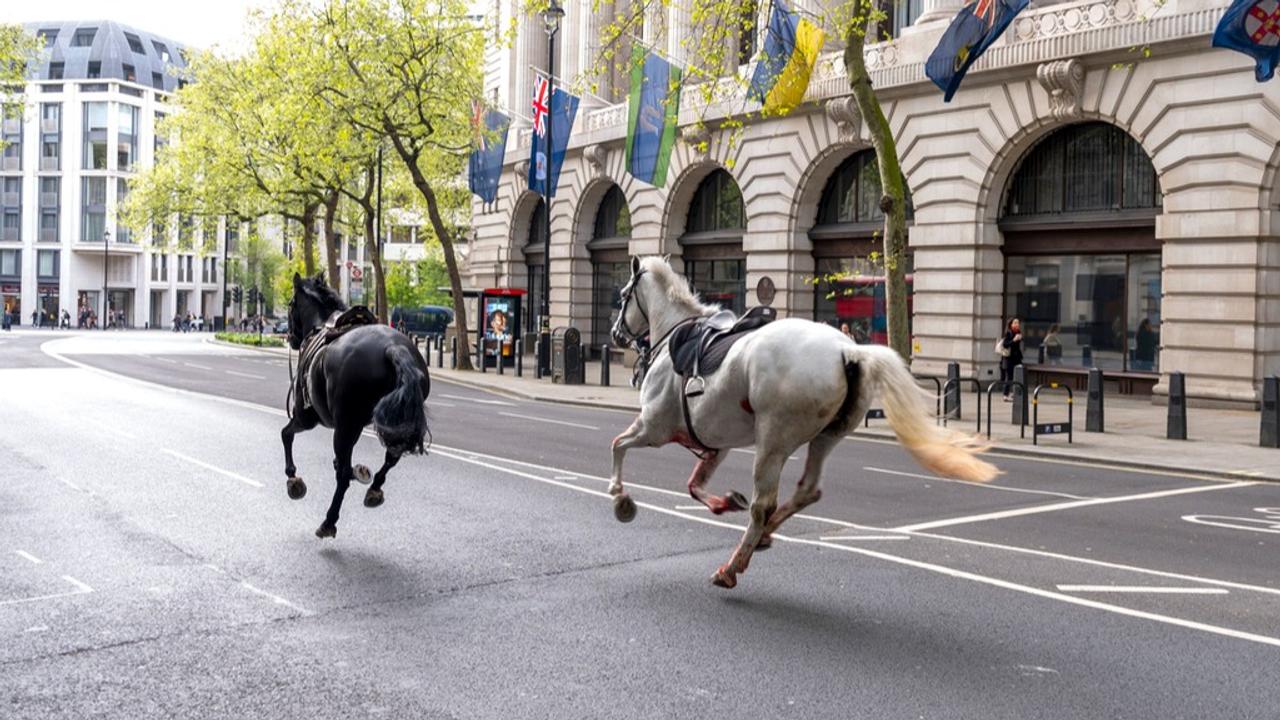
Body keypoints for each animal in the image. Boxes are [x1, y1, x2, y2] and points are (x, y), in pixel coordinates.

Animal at [281, 271, 430, 535]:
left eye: (290, 305)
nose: (291, 338)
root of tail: (393, 348)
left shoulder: (306, 417)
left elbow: (286, 434)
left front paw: (293, 479)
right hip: (390, 422)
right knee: (392, 456)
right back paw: (374, 488)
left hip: (343, 426)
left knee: (342, 477)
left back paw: (329, 521)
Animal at [609, 254, 998, 586]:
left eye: (623, 296)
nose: (615, 335)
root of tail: (849, 349)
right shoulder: (715, 442)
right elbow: (694, 484)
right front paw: (723, 502)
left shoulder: (654, 427)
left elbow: (618, 445)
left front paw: (620, 498)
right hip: (826, 436)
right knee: (806, 490)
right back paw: (764, 536)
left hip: (772, 441)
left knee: (763, 504)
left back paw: (732, 566)